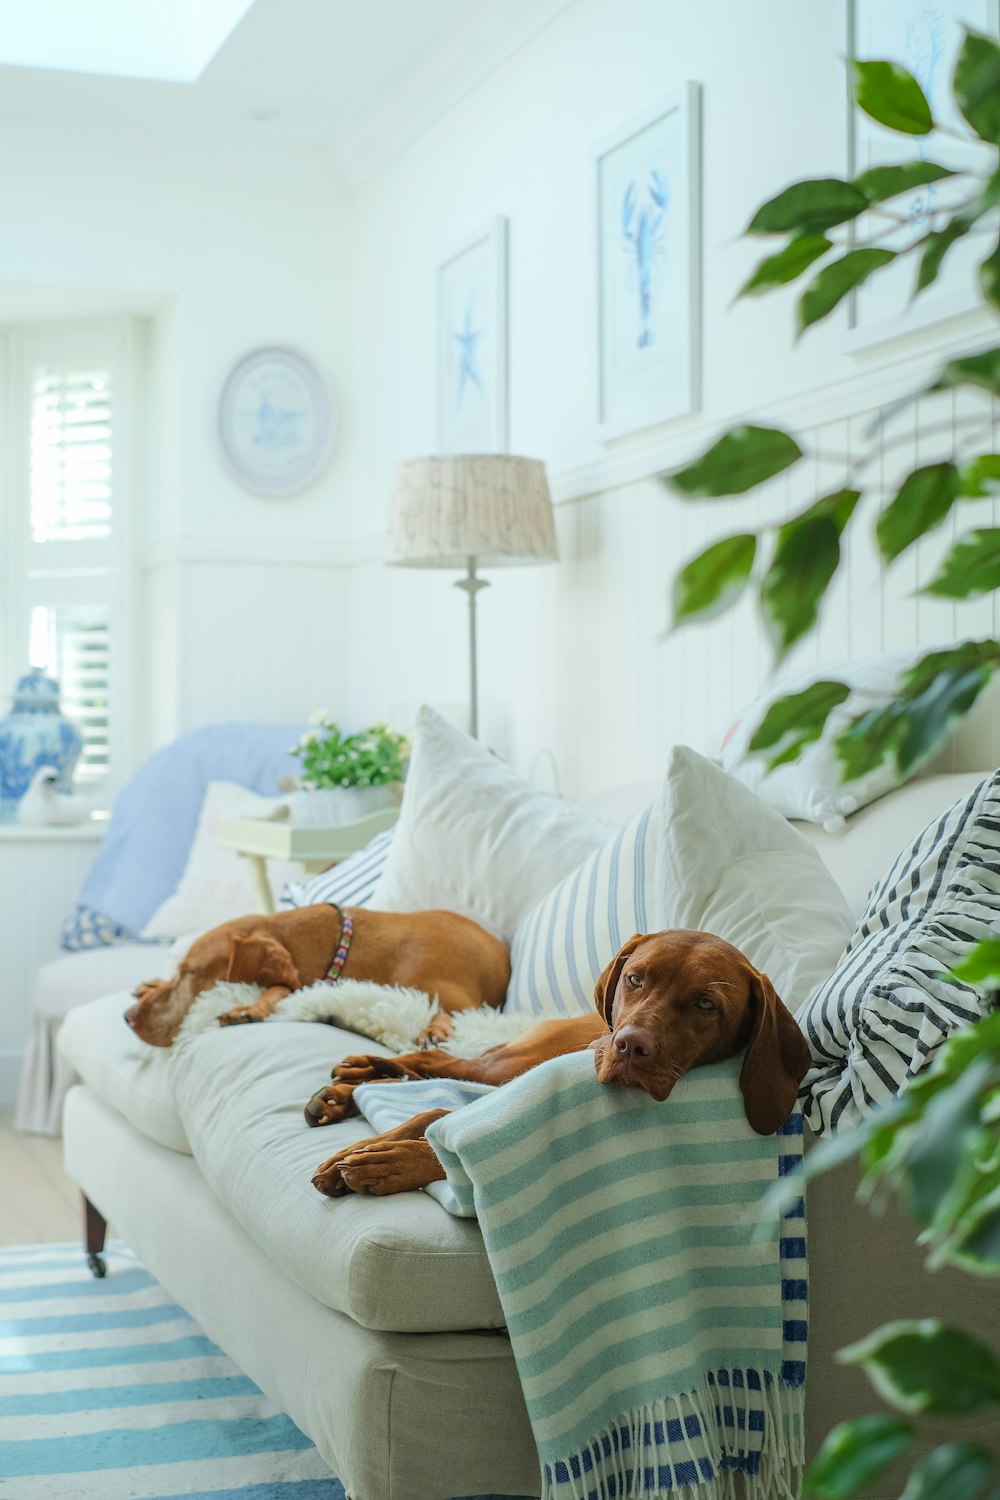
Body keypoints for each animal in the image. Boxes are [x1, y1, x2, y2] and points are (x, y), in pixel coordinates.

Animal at [125, 900, 512, 1044]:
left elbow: (281, 987)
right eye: (181, 970)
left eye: (191, 973)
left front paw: (250, 1007)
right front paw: (151, 984)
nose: (128, 1018)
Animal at [308, 930, 815, 1200]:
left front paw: (388, 1160)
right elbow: (428, 1114)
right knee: (440, 1059)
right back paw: (349, 1081)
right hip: (509, 1064)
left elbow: (443, 1137)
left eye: (707, 1005)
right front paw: (359, 1149)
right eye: (636, 979)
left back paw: (348, 1087)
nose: (629, 1046)